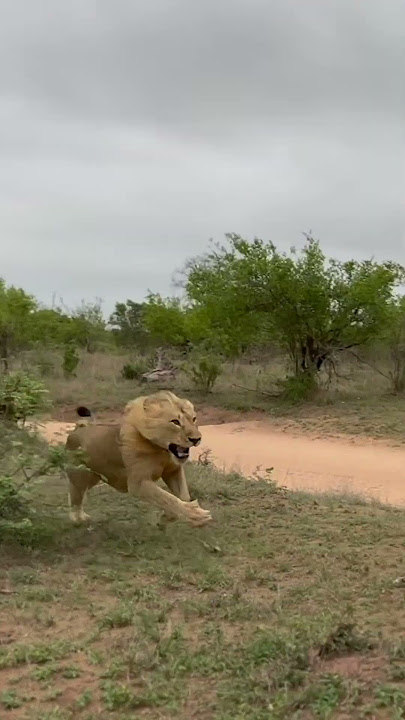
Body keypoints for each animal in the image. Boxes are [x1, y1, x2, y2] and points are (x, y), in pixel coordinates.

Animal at [65, 390, 212, 528]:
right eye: (175, 422)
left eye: (194, 419)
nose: (196, 439)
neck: (162, 451)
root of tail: (78, 427)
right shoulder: (138, 483)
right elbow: (166, 498)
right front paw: (198, 515)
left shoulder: (173, 471)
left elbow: (183, 496)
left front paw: (167, 517)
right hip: (80, 475)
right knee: (75, 494)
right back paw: (78, 518)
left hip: (95, 476)